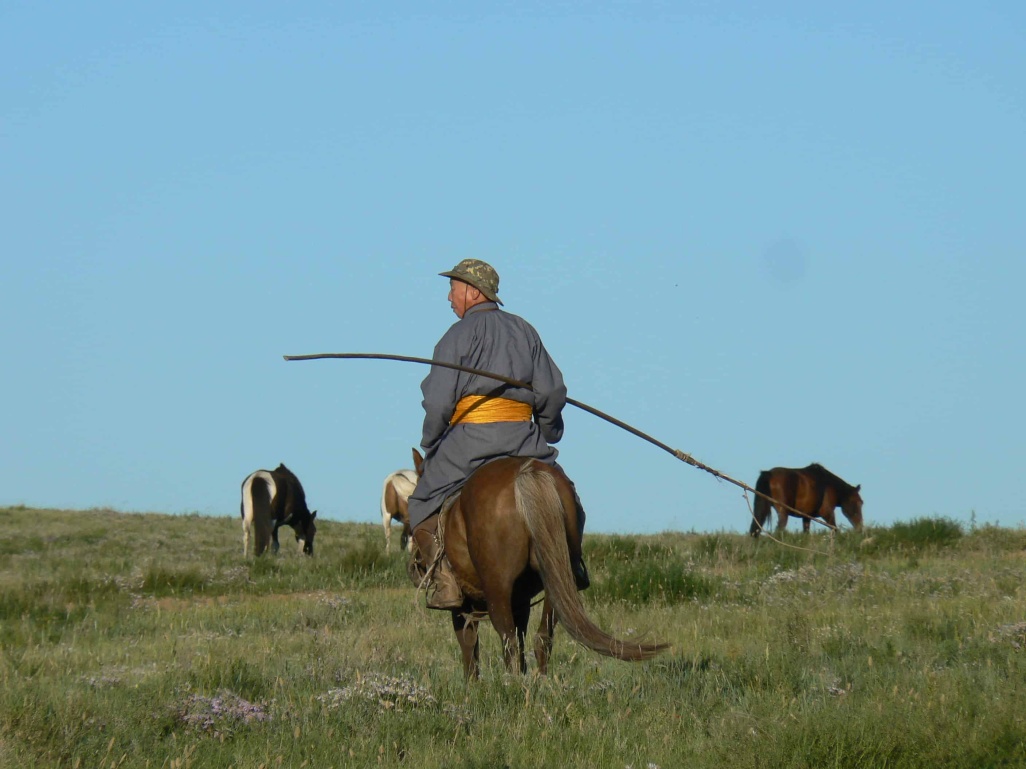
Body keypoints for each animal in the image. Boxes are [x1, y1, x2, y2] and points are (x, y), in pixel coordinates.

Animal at [412, 451, 668, 680]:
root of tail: (526, 473)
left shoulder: (462, 605)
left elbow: (469, 645)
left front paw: (471, 686)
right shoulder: (521, 600)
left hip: (498, 587)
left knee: (508, 638)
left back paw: (513, 685)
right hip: (555, 578)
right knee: (543, 636)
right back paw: (540, 682)